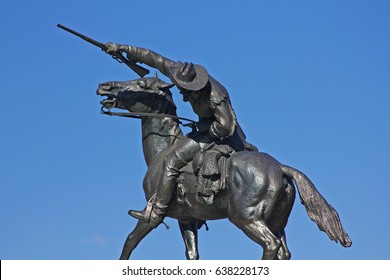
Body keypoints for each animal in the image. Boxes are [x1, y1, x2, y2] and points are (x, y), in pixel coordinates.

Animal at [96, 75, 350, 260]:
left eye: (141, 84)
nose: (104, 86)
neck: (164, 148)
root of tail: (280, 168)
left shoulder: (153, 216)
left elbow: (130, 241)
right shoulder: (186, 218)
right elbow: (192, 254)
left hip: (247, 218)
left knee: (271, 245)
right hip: (276, 223)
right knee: (284, 252)